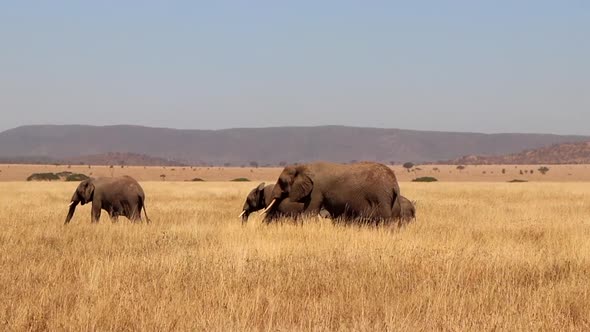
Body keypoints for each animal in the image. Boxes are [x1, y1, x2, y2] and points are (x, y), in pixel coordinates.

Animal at [268, 161, 402, 224]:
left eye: (281, 181)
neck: (303, 167)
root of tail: (394, 183)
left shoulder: (316, 190)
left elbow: (309, 212)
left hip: (381, 196)